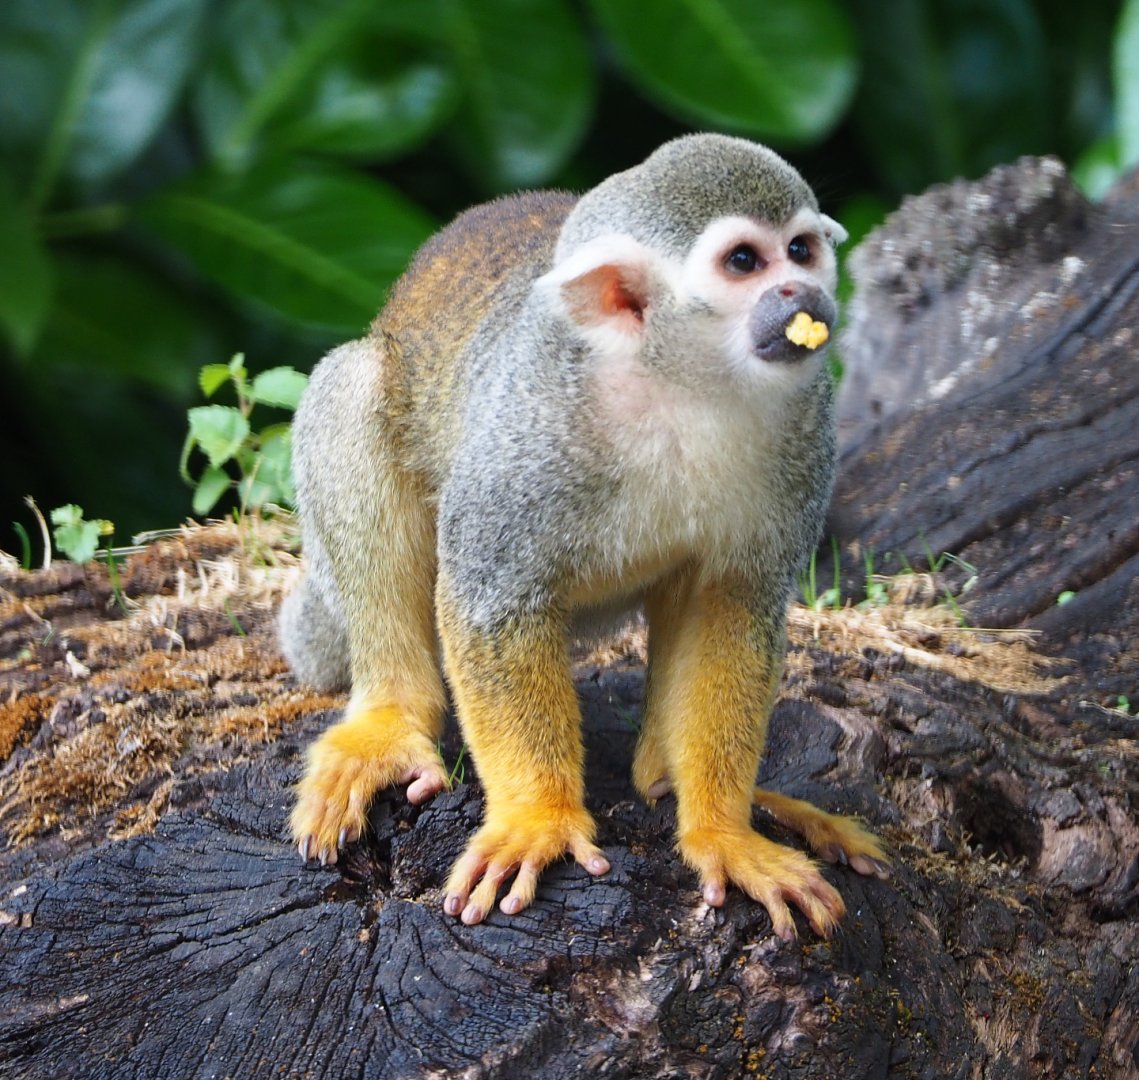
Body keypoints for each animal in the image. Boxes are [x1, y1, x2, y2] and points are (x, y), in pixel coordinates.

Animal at [279, 133, 889, 940]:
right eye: (743, 262)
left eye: (800, 249)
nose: (801, 295)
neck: (678, 387)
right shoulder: (530, 424)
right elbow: (491, 601)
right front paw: (538, 816)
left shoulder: (807, 426)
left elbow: (728, 611)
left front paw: (724, 834)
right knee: (350, 387)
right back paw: (389, 717)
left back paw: (677, 786)